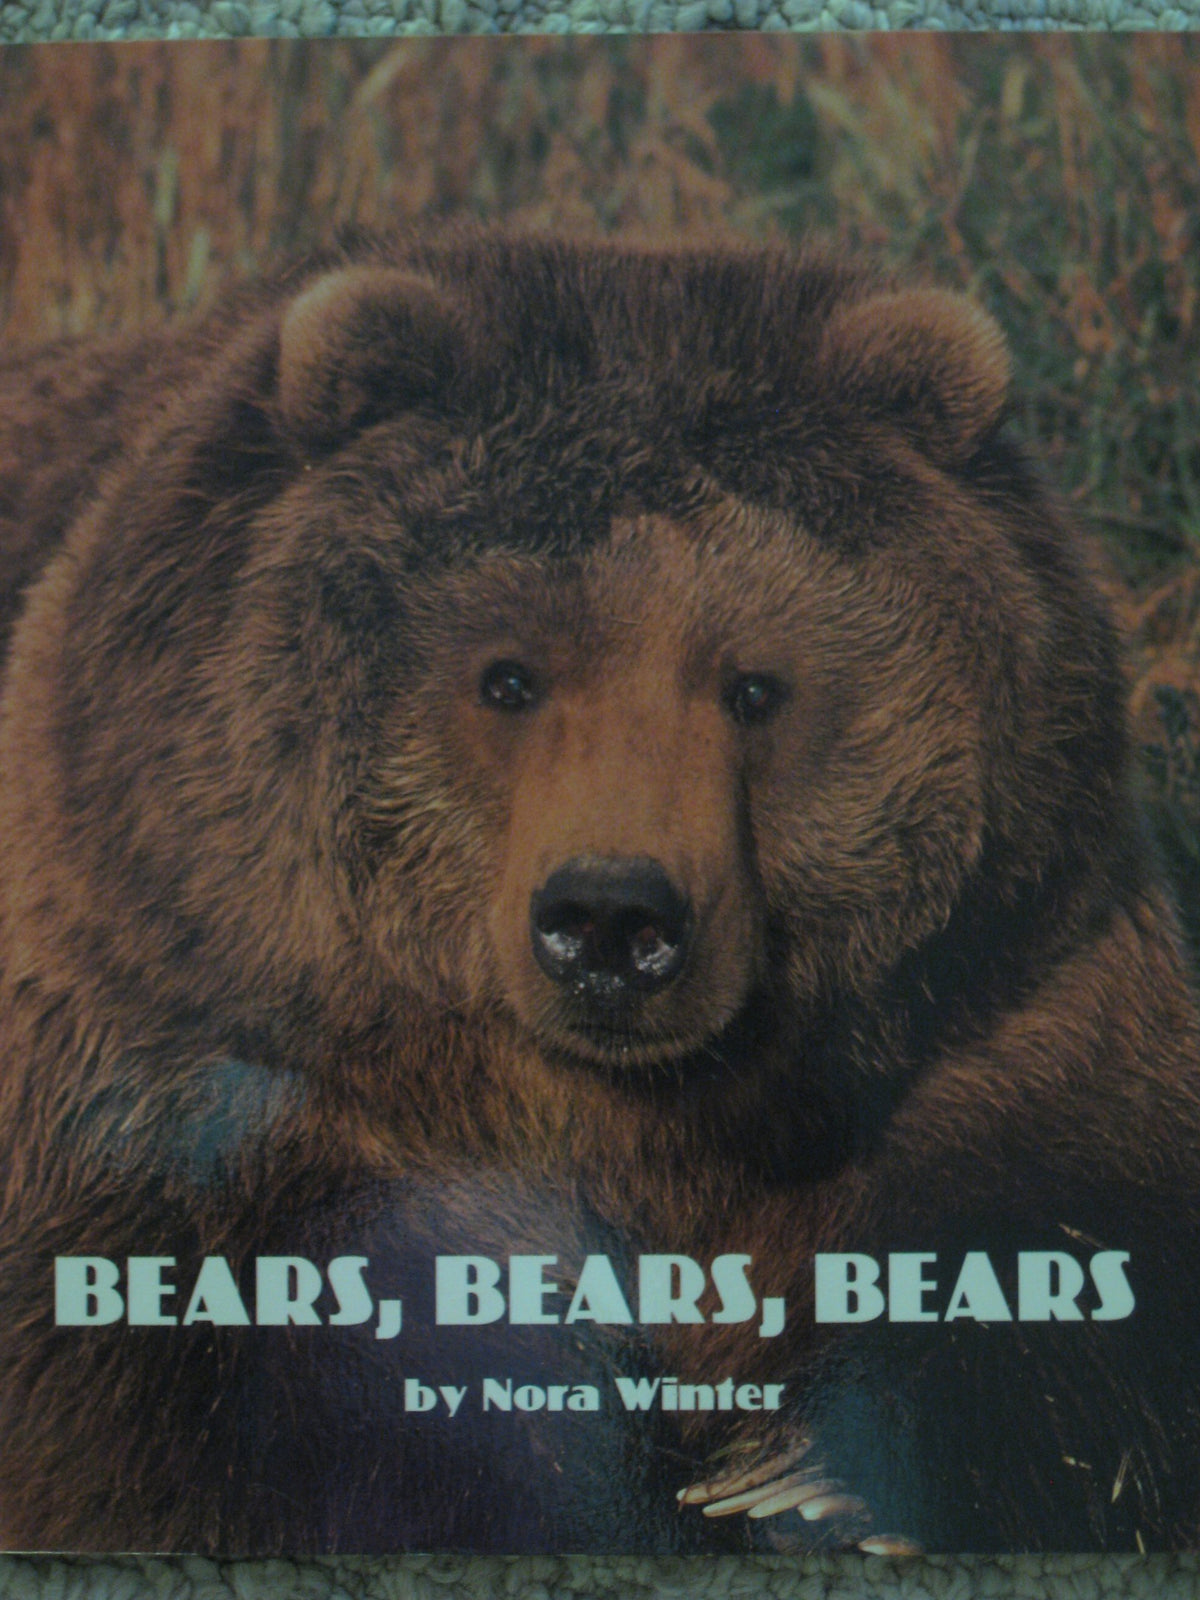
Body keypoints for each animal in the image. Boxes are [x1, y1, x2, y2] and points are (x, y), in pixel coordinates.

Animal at [0, 230, 1198, 1555]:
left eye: (754, 686)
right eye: (508, 677)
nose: (614, 920)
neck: (632, 1118)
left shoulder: (1005, 999)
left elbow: (1082, 1264)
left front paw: (806, 1477)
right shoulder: (187, 1020)